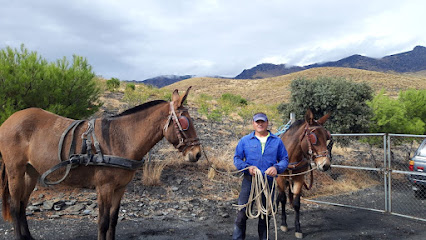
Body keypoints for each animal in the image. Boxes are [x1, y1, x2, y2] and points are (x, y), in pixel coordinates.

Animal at [0, 86, 201, 240]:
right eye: (185, 122)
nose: (197, 154)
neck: (122, 139)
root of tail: (9, 120)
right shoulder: (104, 187)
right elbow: (103, 222)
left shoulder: (120, 188)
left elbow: (113, 220)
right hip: (15, 171)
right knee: (15, 206)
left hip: (31, 172)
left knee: (22, 205)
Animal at [276, 109, 332, 238]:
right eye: (313, 138)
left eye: (327, 137)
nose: (325, 164)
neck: (290, 155)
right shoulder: (280, 177)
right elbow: (282, 199)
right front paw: (284, 224)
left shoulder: (299, 178)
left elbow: (297, 203)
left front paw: (298, 229)